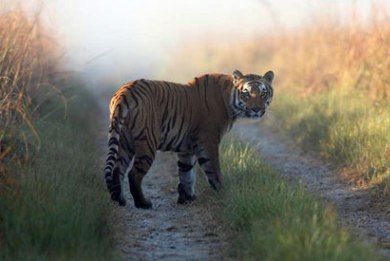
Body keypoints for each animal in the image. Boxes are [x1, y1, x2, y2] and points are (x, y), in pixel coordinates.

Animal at [103, 69, 274, 207]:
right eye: (246, 93)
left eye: (263, 93)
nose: (257, 109)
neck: (230, 101)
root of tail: (124, 92)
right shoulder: (209, 141)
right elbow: (213, 170)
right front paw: (224, 194)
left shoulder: (187, 148)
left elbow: (186, 172)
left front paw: (186, 198)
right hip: (147, 142)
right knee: (134, 174)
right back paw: (143, 203)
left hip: (124, 142)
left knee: (117, 169)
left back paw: (119, 200)